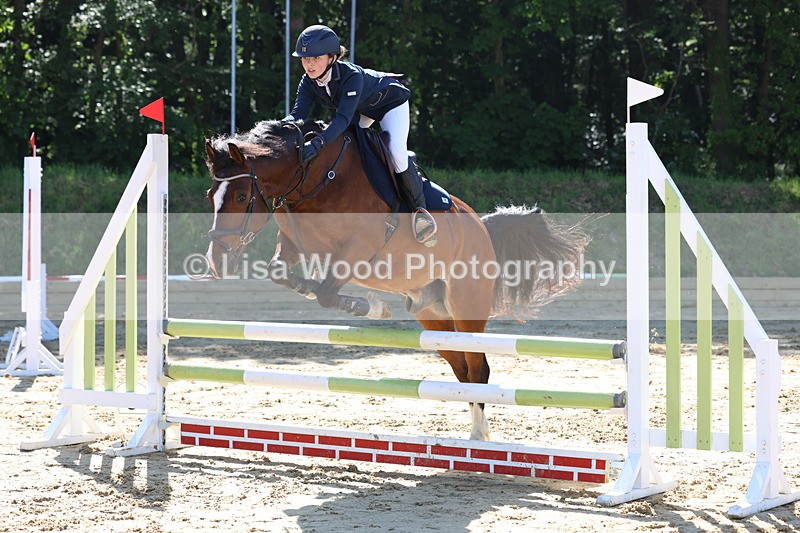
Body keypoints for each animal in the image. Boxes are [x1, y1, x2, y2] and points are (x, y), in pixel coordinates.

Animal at [203, 119, 588, 441]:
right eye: (211, 196)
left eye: (241, 196)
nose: (215, 261)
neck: (313, 177)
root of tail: (482, 226)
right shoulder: (293, 243)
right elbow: (286, 275)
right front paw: (324, 293)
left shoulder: (358, 248)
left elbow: (328, 292)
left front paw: (369, 307)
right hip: (433, 317)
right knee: (463, 369)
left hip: (467, 305)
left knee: (479, 368)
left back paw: (479, 437)